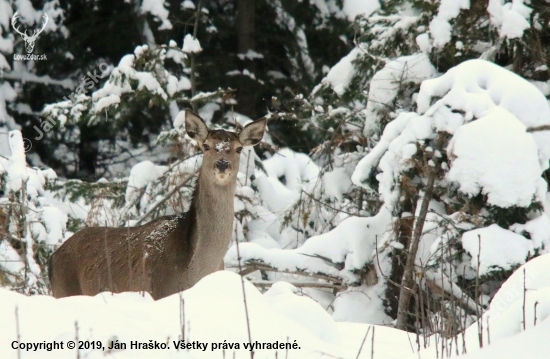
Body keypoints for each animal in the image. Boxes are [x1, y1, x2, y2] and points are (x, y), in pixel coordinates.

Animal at [48, 110, 268, 300]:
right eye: (205, 146)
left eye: (239, 148)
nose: (222, 164)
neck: (197, 270)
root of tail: (52, 258)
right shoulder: (159, 290)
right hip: (63, 290)